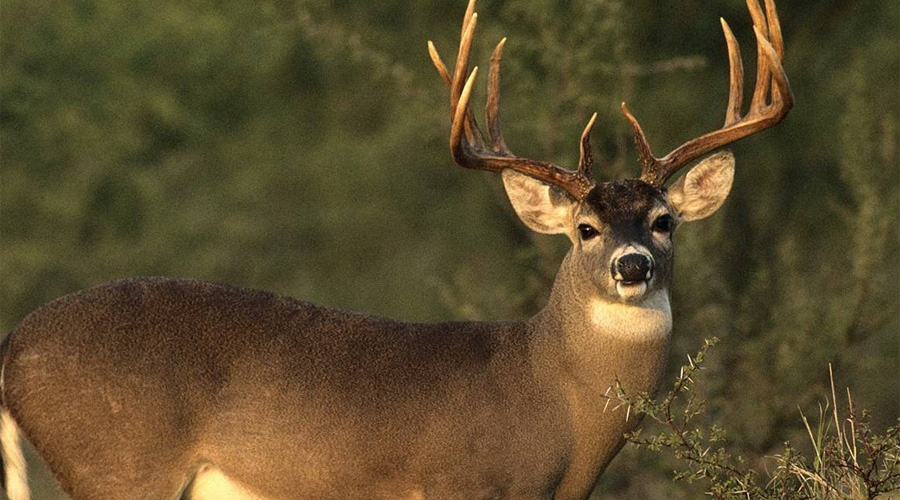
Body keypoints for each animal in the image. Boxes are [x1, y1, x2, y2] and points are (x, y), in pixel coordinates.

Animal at [0, 0, 792, 500]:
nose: (634, 266)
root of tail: (11, 350)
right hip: (118, 465)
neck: (555, 406)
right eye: (585, 230)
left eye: (664, 221)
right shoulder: (462, 484)